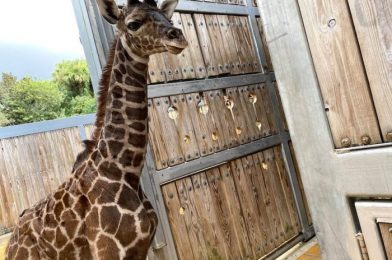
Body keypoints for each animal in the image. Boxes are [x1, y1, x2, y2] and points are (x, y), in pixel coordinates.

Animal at [4, 0, 188, 258]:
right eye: (133, 24)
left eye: (167, 18)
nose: (177, 36)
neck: (124, 170)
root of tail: (11, 241)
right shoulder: (109, 251)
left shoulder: (141, 247)